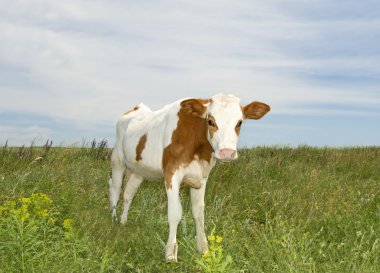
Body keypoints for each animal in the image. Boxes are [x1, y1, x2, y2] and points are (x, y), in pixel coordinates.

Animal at [108, 94, 270, 262]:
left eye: (239, 122)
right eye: (210, 121)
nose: (227, 152)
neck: (197, 147)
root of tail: (136, 108)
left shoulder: (201, 178)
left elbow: (199, 213)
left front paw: (204, 250)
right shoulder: (171, 173)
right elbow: (175, 213)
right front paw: (170, 254)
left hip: (138, 170)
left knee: (128, 193)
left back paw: (123, 222)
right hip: (117, 160)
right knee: (115, 189)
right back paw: (113, 221)